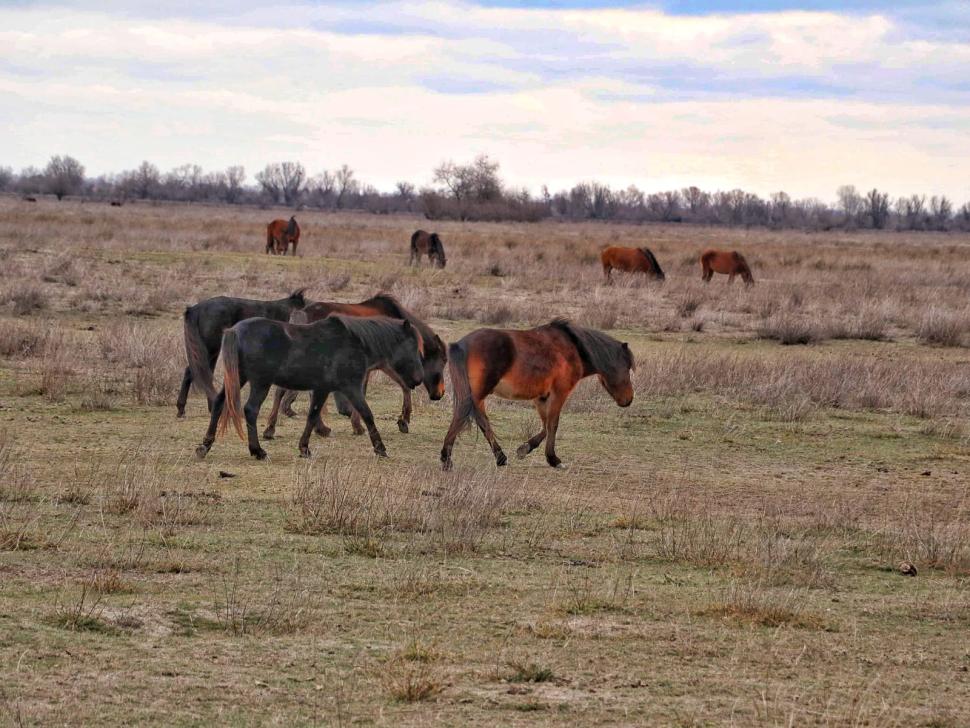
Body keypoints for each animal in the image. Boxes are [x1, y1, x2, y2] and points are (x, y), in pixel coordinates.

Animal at [195, 315, 424, 461]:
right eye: (413, 346)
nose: (418, 379)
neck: (354, 343)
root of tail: (235, 330)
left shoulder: (322, 389)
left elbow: (312, 416)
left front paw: (304, 448)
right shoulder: (351, 387)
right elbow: (367, 414)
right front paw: (380, 448)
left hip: (240, 378)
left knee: (219, 403)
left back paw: (205, 445)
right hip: (260, 383)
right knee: (250, 410)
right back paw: (257, 451)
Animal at [261, 293, 447, 440]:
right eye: (443, 360)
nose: (440, 393)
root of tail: (301, 315)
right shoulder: (382, 364)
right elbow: (400, 387)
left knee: (281, 390)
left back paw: (272, 429)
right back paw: (319, 429)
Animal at [440, 319, 634, 471]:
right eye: (627, 367)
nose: (629, 399)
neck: (573, 349)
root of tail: (461, 344)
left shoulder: (541, 397)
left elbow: (545, 426)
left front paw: (525, 448)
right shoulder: (559, 394)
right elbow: (553, 425)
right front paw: (553, 459)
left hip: (476, 396)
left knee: (478, 420)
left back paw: (496, 458)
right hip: (478, 394)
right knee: (469, 418)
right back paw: (450, 459)